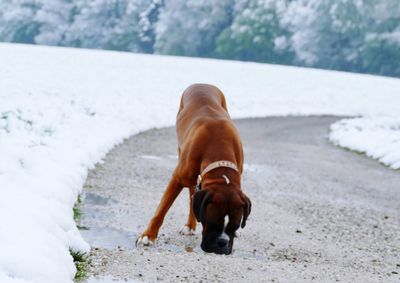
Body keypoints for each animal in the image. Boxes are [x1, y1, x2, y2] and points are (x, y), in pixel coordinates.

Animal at [137, 83, 250, 254]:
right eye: (212, 223)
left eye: (235, 226)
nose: (222, 243)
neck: (219, 147)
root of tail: (202, 83)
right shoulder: (176, 179)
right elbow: (162, 209)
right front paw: (148, 236)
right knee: (191, 194)